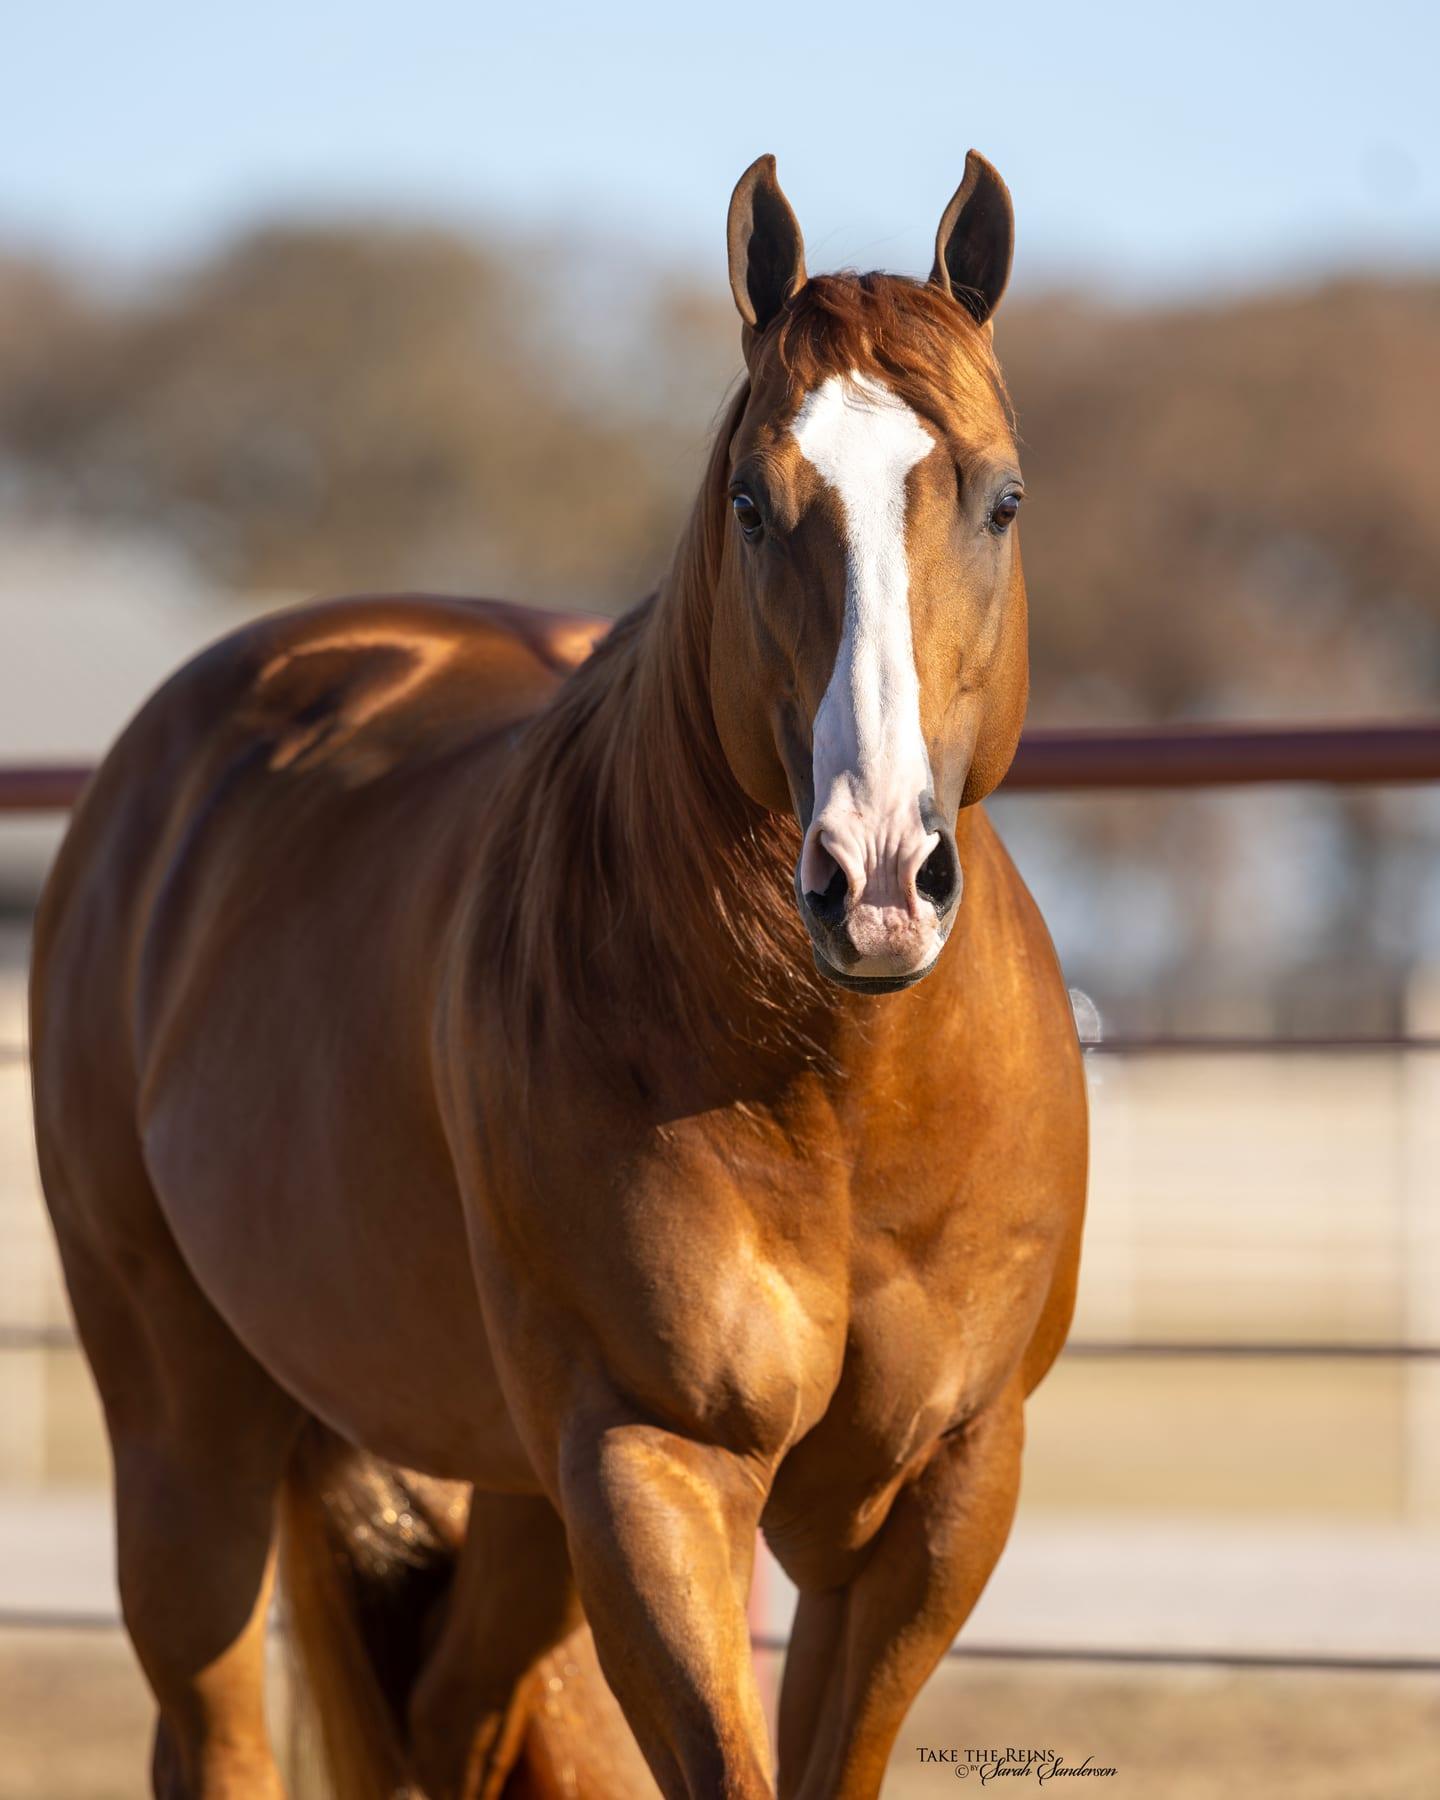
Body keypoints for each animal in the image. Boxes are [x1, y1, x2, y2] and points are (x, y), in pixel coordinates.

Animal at [30, 151, 1087, 1799]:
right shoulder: (648, 1467)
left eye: (1002, 498)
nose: (873, 883)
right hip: (190, 1439)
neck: (837, 1096)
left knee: (449, 1716)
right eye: (750, 503)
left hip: (508, 1502)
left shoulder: (939, 1495)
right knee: (216, 1731)